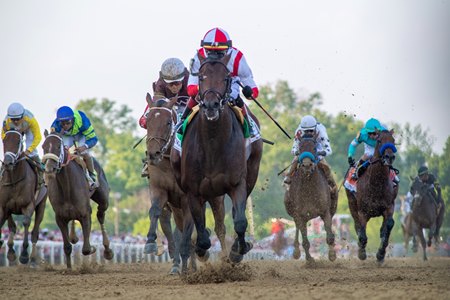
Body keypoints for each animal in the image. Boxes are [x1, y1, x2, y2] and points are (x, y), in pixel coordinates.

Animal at [0, 130, 47, 266]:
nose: (8, 163)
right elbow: (9, 224)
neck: (14, 180)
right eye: (4, 141)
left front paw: (24, 255)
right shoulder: (4, 206)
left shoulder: (28, 205)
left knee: (35, 232)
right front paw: (10, 251)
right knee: (12, 225)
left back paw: (33, 258)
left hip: (42, 204)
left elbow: (26, 222)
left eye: (18, 142)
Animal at [42, 130, 113, 268]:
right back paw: (74, 236)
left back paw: (107, 251)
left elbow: (86, 249)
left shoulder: (85, 214)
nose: (49, 170)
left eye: (58, 146)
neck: (66, 187)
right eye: (43, 147)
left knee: (101, 216)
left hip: (103, 200)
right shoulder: (60, 218)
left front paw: (93, 248)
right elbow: (67, 247)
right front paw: (69, 268)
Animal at [172, 53, 264, 262]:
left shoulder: (237, 183)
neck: (213, 145)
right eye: (201, 76)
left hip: (251, 172)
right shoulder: (193, 191)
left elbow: (240, 221)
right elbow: (201, 231)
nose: (211, 105)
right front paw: (201, 248)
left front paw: (238, 250)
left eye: (226, 77)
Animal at [344, 129, 398, 262]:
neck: (376, 184)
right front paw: (361, 253)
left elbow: (388, 226)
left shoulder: (389, 206)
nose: (389, 157)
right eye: (379, 140)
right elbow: (362, 233)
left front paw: (381, 253)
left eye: (393, 140)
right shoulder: (362, 212)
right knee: (357, 226)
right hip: (352, 205)